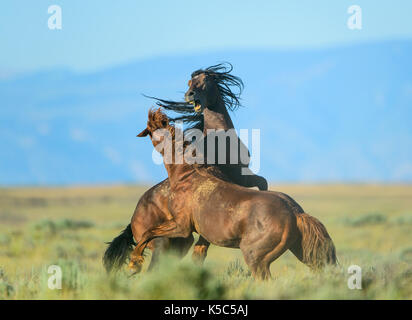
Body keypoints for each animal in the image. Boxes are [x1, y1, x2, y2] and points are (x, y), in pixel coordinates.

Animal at [133, 110, 338, 280]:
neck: (187, 177)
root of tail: (294, 213)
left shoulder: (181, 226)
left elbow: (148, 233)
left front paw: (133, 264)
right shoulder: (199, 235)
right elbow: (196, 254)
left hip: (256, 259)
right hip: (302, 251)